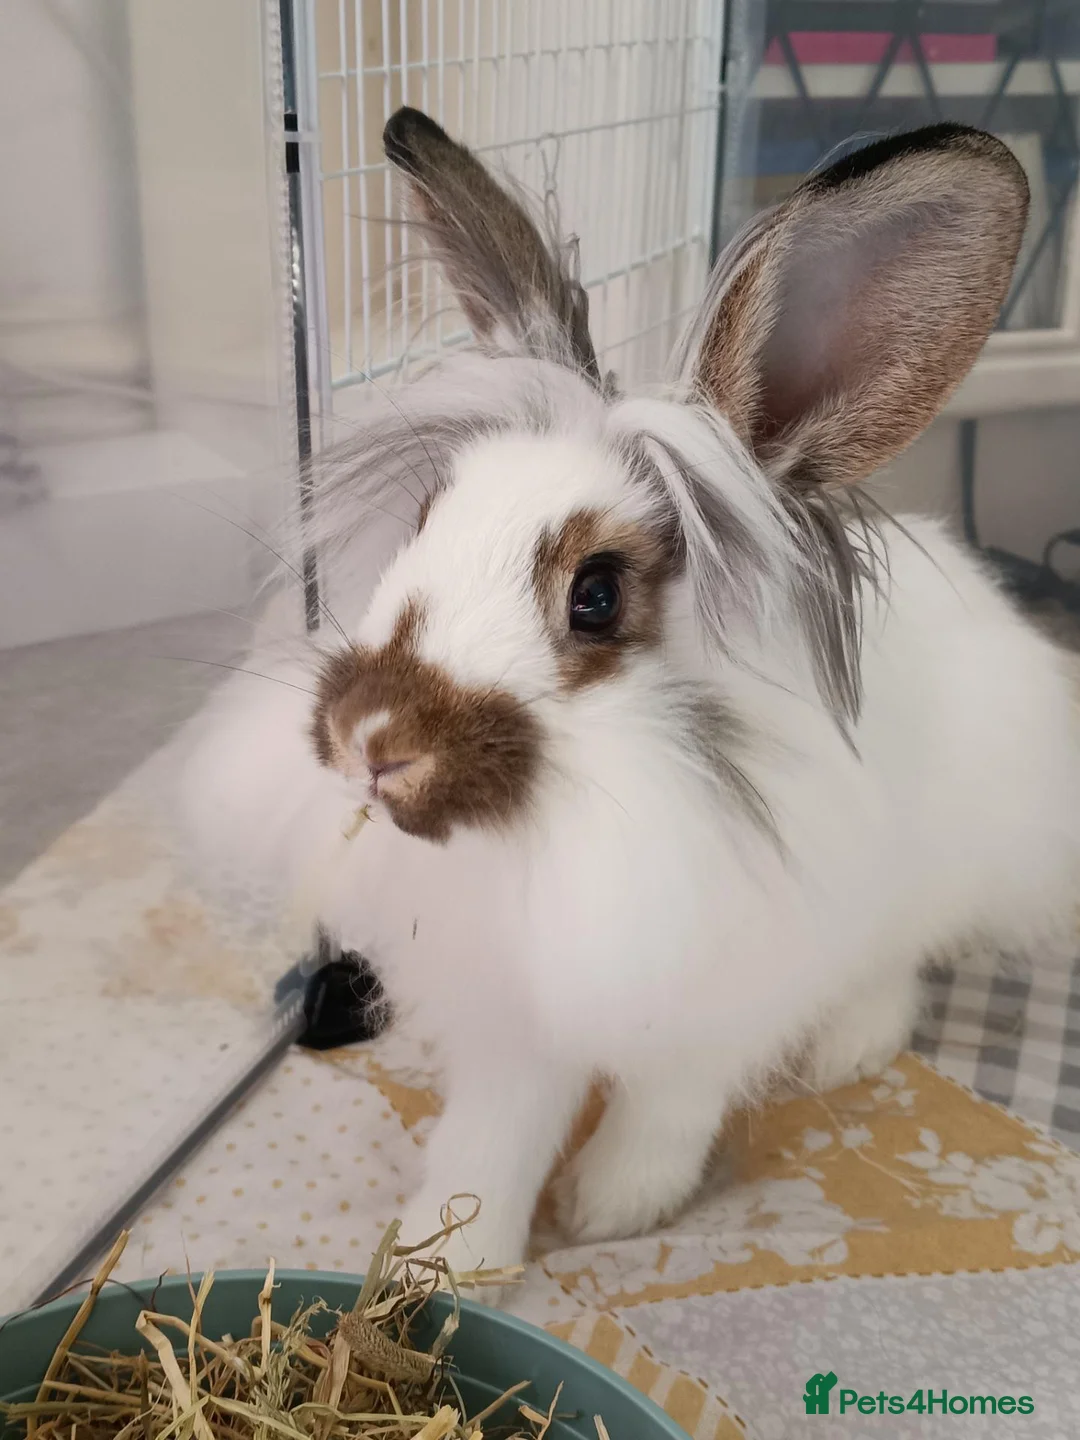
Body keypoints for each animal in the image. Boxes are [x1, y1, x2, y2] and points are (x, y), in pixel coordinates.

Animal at [179, 108, 1080, 1288]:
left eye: (598, 595)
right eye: (425, 521)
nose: (368, 739)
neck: (581, 827)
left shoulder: (715, 1007)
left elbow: (665, 1110)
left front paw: (612, 1209)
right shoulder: (513, 1019)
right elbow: (492, 1137)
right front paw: (443, 1259)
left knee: (898, 964)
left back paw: (845, 1049)